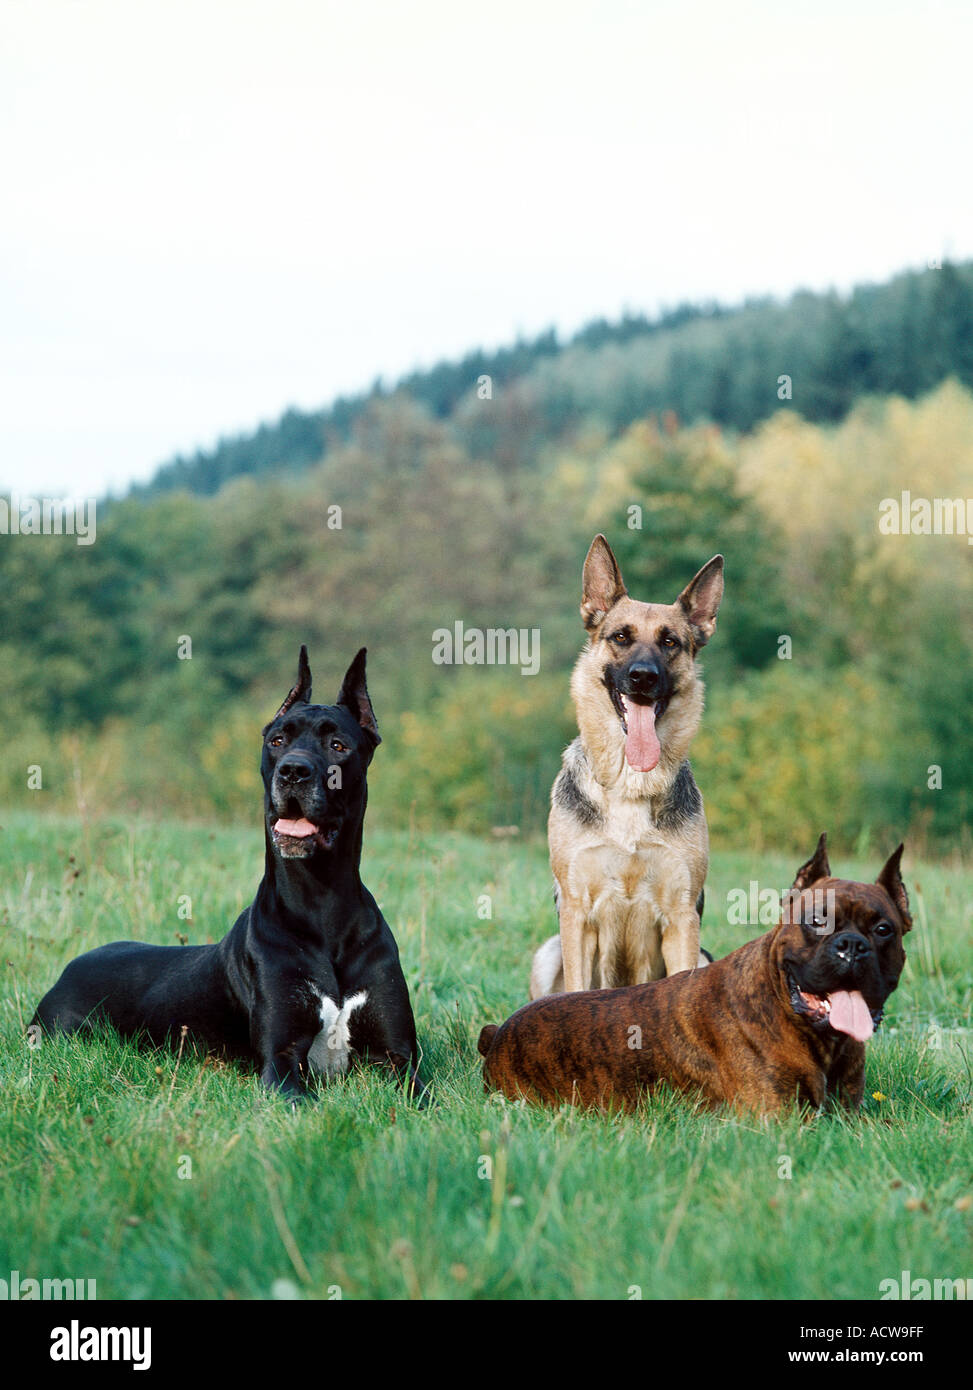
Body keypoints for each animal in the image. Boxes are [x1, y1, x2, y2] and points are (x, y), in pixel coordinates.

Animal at [33, 644, 422, 1100]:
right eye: (277, 740)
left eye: (338, 744)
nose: (293, 771)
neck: (321, 899)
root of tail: (64, 972)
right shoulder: (280, 1061)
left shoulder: (400, 1057)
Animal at [530, 533, 722, 1000]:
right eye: (620, 636)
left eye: (670, 642)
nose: (642, 677)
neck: (630, 786)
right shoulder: (577, 915)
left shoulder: (682, 918)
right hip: (547, 953)